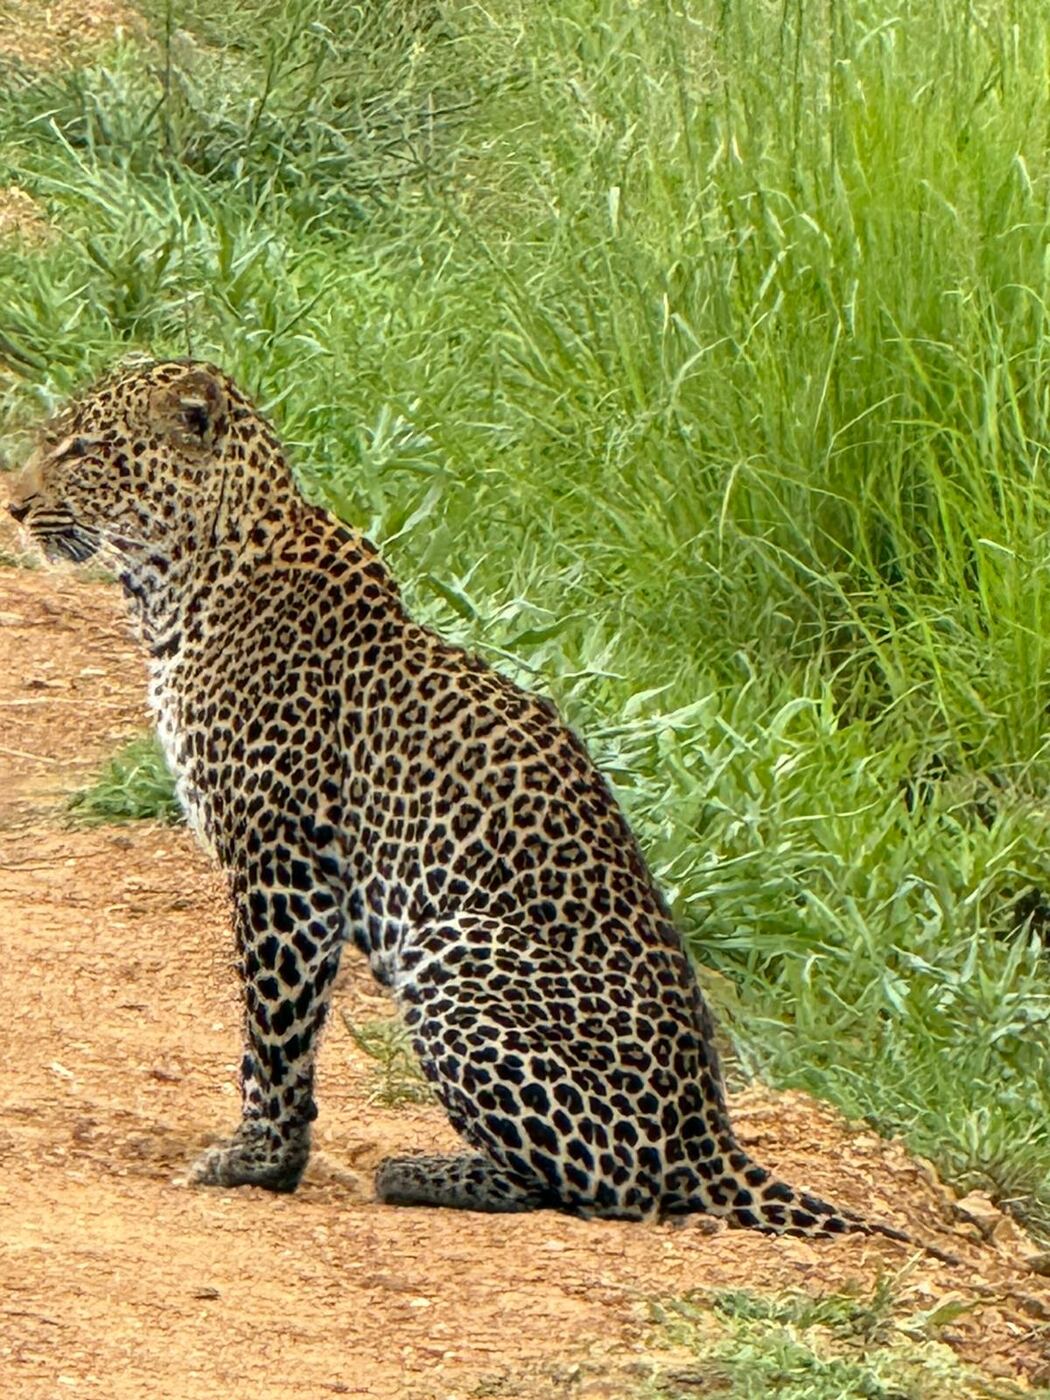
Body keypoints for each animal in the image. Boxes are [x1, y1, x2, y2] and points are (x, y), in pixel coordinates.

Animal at [8, 357, 955, 1260]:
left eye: (84, 450)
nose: (13, 507)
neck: (180, 587)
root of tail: (709, 1130)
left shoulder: (283, 860)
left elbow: (274, 1032)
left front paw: (257, 1164)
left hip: (455, 950)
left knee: (618, 1187)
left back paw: (422, 1171)